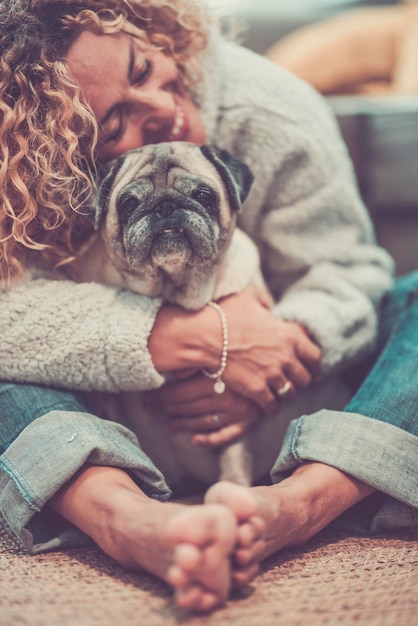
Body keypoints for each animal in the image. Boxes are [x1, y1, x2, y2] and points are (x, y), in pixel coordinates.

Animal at [79, 143, 268, 488]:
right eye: (129, 203)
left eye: (204, 196)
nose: (165, 206)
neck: (174, 288)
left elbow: (234, 458)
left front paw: (233, 488)